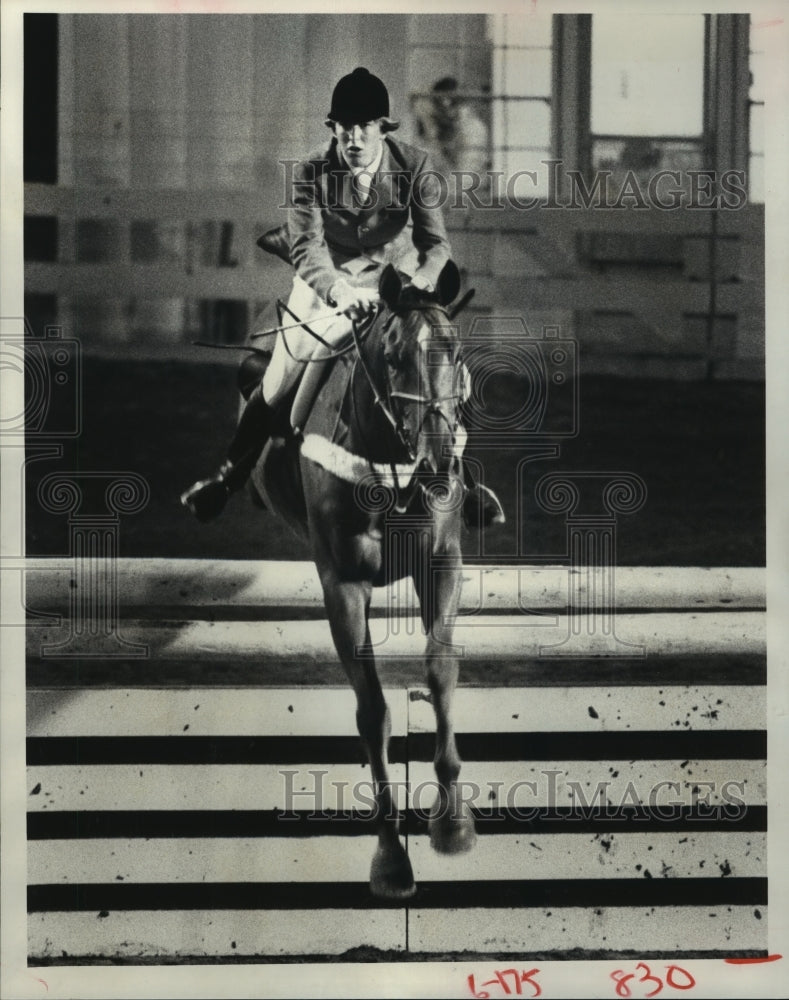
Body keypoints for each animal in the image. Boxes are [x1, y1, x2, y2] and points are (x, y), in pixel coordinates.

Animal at [251, 258, 474, 900]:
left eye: (457, 350)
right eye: (395, 356)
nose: (440, 464)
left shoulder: (441, 563)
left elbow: (440, 669)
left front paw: (452, 821)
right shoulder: (343, 585)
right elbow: (373, 711)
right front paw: (391, 857)